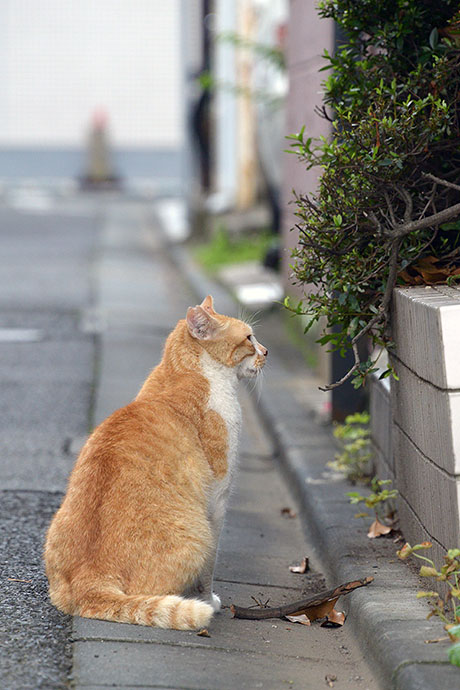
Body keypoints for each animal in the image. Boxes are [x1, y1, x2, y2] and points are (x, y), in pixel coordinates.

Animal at [45, 296, 268, 628]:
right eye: (249, 338)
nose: (266, 352)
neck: (185, 373)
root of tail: (90, 580)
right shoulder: (217, 500)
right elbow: (209, 570)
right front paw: (207, 600)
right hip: (198, 535)